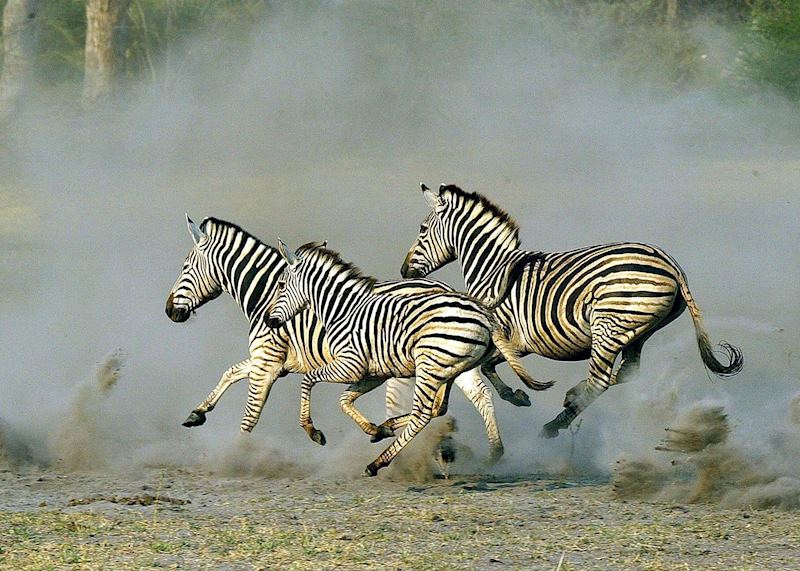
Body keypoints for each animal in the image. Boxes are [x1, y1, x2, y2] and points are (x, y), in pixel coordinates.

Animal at [165, 215, 512, 460]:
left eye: (185, 266)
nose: (169, 311)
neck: (266, 296)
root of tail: (449, 289)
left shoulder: (267, 361)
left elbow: (250, 415)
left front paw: (237, 456)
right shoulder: (274, 362)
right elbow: (231, 372)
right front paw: (197, 413)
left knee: (468, 397)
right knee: (472, 396)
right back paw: (491, 450)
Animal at [265, 240, 552, 476]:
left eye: (280, 285)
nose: (269, 321)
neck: (342, 310)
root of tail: (482, 312)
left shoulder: (351, 365)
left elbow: (309, 381)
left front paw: (313, 431)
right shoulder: (373, 373)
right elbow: (344, 400)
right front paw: (375, 429)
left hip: (429, 366)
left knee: (422, 414)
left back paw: (377, 463)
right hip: (448, 369)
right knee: (439, 407)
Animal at [401, 184, 743, 438]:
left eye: (422, 229)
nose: (404, 271)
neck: (492, 268)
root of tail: (669, 262)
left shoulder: (508, 339)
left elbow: (487, 368)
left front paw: (518, 397)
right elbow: (484, 369)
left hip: (608, 325)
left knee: (601, 379)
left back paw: (554, 424)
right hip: (637, 332)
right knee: (625, 373)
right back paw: (571, 399)